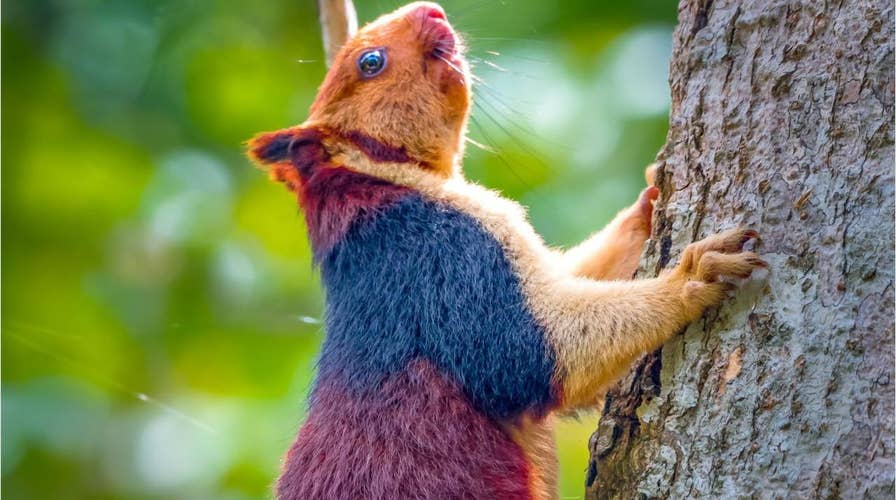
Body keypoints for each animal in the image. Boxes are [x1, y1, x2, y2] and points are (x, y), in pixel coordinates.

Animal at [247, 2, 766, 499]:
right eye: (370, 62)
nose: (432, 10)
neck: (379, 177)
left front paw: (648, 200)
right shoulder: (438, 255)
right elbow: (527, 353)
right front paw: (692, 276)